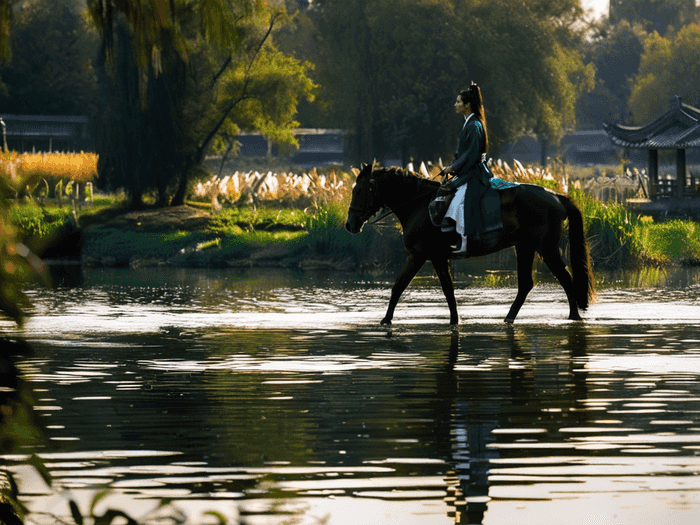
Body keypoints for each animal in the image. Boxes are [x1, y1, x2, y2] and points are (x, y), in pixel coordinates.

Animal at [344, 163, 596, 324]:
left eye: (359, 190)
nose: (349, 225)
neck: (418, 205)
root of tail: (556, 196)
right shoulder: (433, 257)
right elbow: (438, 290)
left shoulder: (422, 255)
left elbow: (406, 286)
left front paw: (386, 320)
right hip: (524, 247)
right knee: (526, 284)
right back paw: (508, 318)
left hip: (547, 249)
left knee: (566, 279)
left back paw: (574, 317)